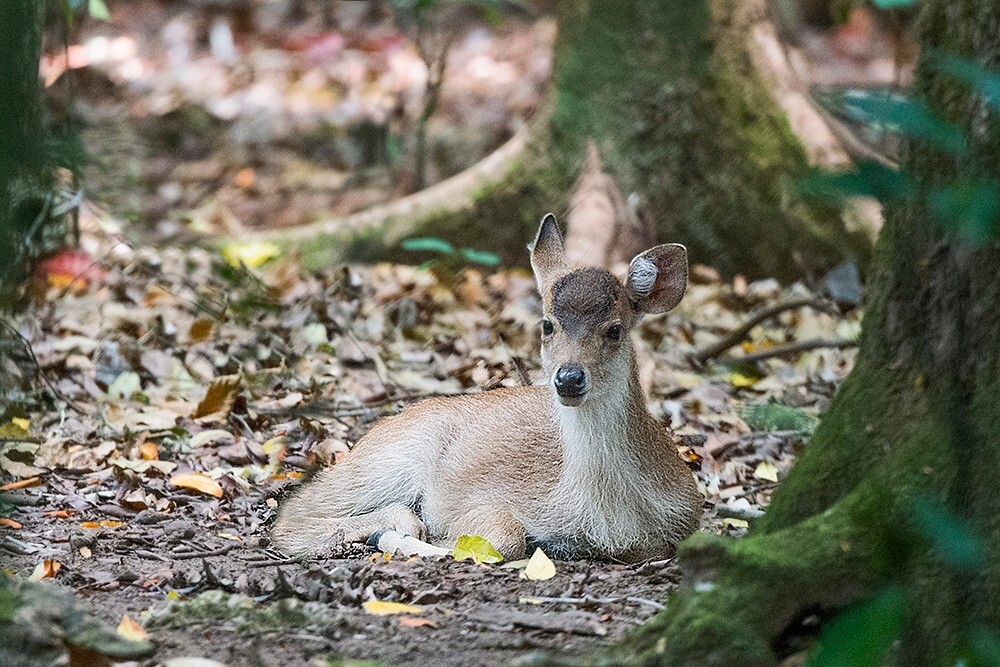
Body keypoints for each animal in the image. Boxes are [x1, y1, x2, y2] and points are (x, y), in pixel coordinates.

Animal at [270, 214, 700, 564]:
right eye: (547, 324)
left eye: (615, 329)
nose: (569, 378)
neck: (605, 512)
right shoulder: (481, 500)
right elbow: (505, 537)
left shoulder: (685, 519)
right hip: (389, 459)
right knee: (294, 513)